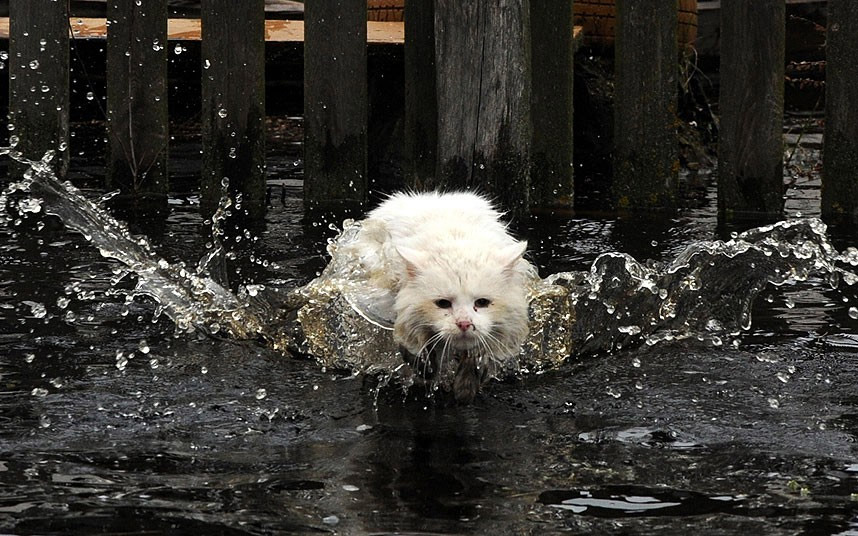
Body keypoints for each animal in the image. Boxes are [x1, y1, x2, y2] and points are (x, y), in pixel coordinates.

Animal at [342, 193, 532, 402]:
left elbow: (476, 356)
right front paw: (426, 370)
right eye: (443, 304)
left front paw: (466, 387)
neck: (455, 239)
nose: (464, 323)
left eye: (482, 303)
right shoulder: (392, 312)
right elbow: (411, 345)